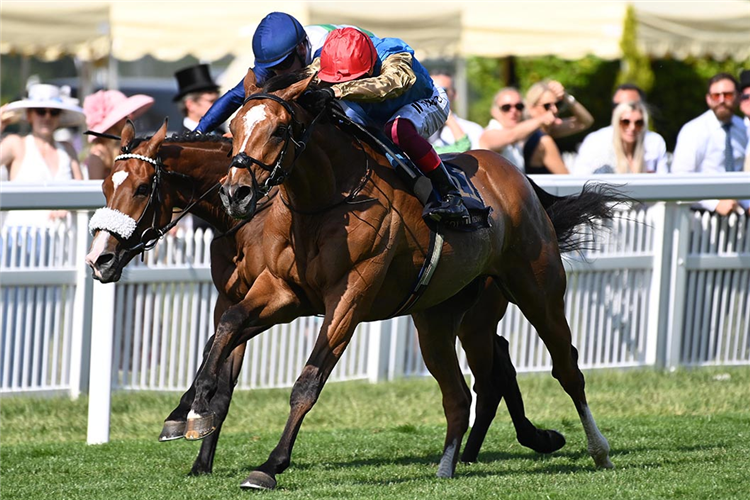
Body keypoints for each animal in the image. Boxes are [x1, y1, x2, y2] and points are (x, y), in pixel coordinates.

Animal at [83, 120, 564, 476]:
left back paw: (518, 439)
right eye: (105, 186)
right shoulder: (245, 297)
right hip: (459, 311)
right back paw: (508, 442)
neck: (250, 218)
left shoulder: (302, 301)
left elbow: (258, 365)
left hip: (484, 308)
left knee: (497, 367)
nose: (99, 259)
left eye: (141, 189)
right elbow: (220, 358)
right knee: (498, 362)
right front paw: (195, 435)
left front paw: (201, 425)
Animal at [206, 68, 624, 490]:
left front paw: (269, 465)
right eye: (234, 126)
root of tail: (515, 175)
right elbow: (228, 323)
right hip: (439, 318)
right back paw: (447, 466)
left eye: (278, 131)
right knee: (460, 395)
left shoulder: (349, 299)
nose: (235, 193)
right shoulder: (282, 291)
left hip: (537, 290)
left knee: (566, 369)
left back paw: (599, 451)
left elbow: (308, 382)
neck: (326, 200)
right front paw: (202, 399)